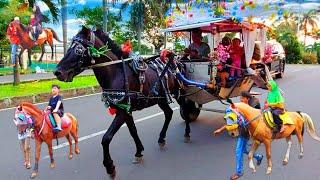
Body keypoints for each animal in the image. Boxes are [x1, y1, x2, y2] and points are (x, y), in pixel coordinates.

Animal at [54, 26, 192, 178]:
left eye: (78, 50)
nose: (57, 72)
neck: (117, 73)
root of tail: (178, 61)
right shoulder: (126, 109)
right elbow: (133, 131)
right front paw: (139, 152)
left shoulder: (122, 111)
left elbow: (106, 138)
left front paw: (110, 167)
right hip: (160, 98)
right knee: (168, 113)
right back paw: (161, 138)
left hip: (180, 93)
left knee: (185, 110)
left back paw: (187, 133)